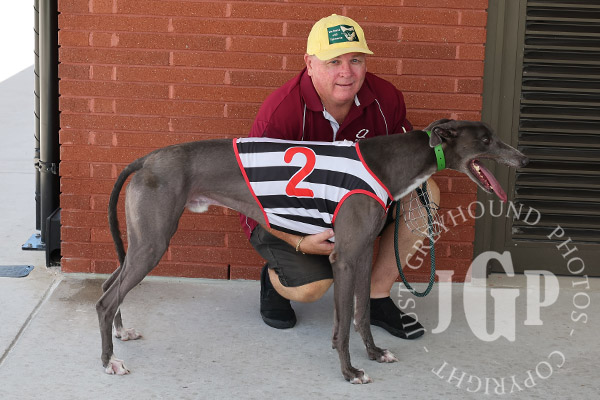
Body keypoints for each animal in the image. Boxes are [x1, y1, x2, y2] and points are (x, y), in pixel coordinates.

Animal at [96, 119, 528, 383]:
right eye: (485, 139)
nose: (524, 158)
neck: (389, 163)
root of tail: (147, 159)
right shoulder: (346, 257)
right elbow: (344, 326)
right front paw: (350, 372)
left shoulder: (362, 254)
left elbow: (361, 313)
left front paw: (374, 354)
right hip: (153, 243)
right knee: (104, 300)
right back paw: (109, 361)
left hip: (141, 242)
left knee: (109, 285)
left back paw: (121, 333)